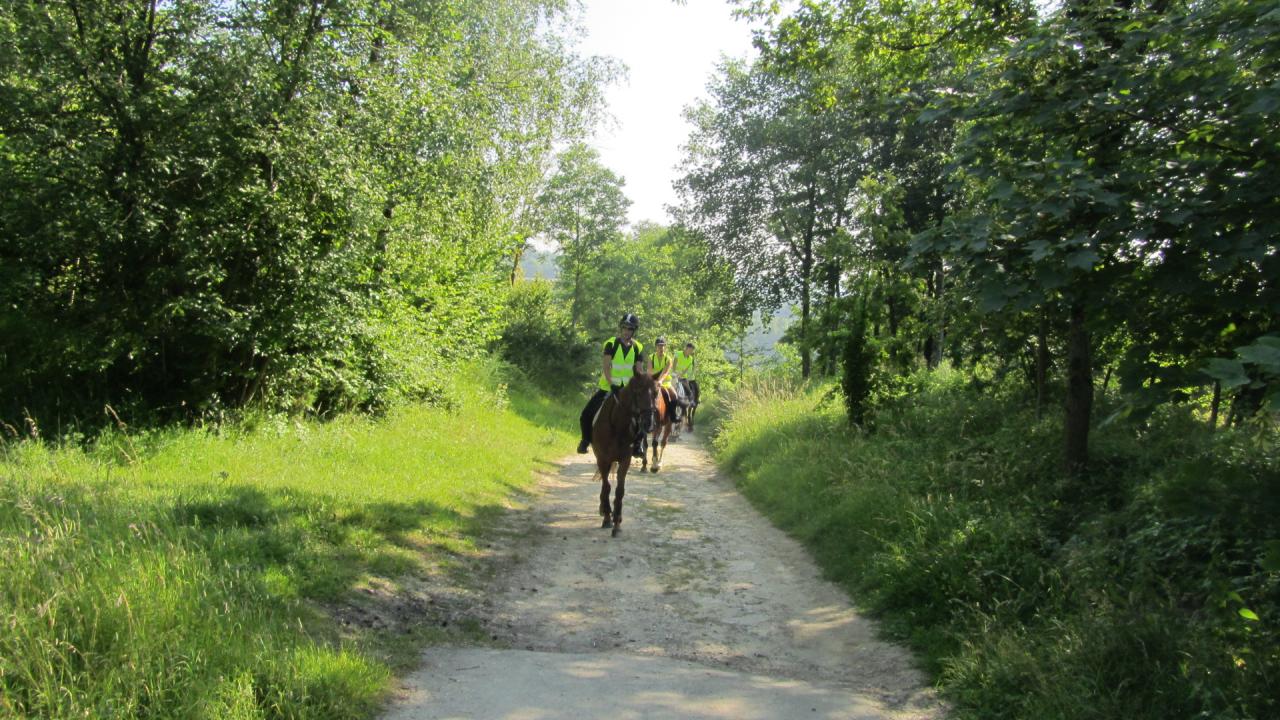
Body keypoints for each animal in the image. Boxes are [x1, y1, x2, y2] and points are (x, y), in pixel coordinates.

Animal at [586, 368, 655, 532]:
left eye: (655, 393)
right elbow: (606, 487)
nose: (649, 423)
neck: (617, 425)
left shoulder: (625, 460)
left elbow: (619, 490)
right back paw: (603, 509)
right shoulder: (602, 460)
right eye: (638, 392)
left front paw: (617, 520)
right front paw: (607, 518)